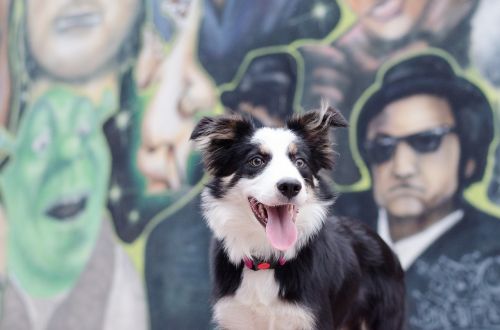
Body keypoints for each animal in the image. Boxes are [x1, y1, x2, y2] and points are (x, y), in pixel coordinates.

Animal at [189, 106, 404, 330]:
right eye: (256, 161)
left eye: (299, 162)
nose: (291, 186)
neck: (267, 260)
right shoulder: (234, 316)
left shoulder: (312, 317)